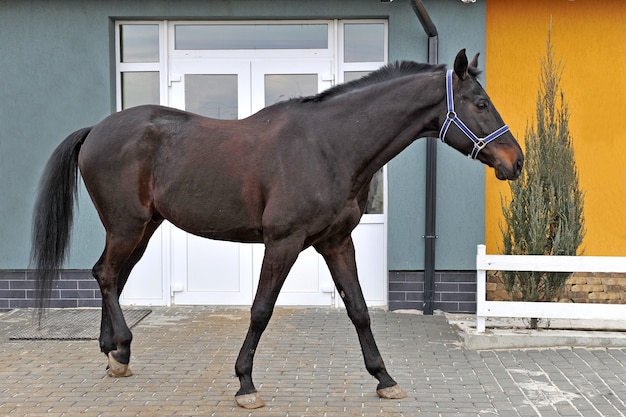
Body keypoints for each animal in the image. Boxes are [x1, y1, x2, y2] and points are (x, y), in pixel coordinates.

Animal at [33, 49, 520, 410]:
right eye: (480, 103)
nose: (515, 162)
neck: (329, 146)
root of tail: (97, 130)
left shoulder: (336, 242)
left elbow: (359, 309)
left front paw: (384, 377)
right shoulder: (283, 243)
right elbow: (261, 310)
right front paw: (245, 383)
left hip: (143, 227)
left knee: (110, 276)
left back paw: (115, 354)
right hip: (127, 225)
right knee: (107, 275)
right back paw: (120, 347)